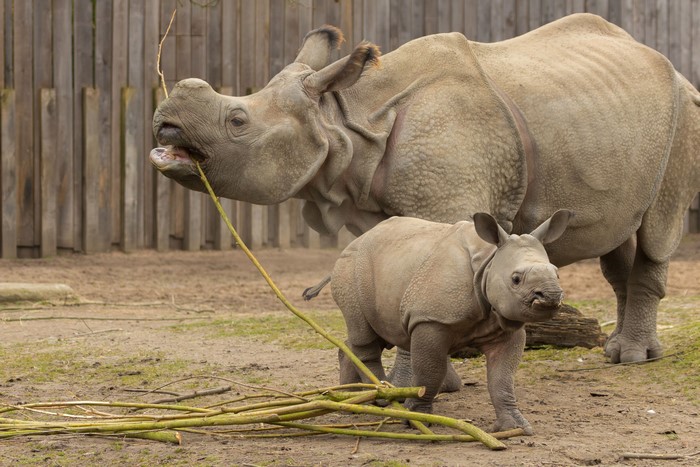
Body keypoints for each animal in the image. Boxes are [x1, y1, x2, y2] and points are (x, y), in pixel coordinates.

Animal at [150, 13, 700, 367]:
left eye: (237, 120)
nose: (163, 124)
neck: (344, 121)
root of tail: (670, 65)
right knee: (618, 240)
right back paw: (618, 351)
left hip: (685, 112)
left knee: (657, 231)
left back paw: (633, 360)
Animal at [314, 210, 572, 433]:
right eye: (516, 279)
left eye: (557, 273)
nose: (550, 296)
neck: (488, 261)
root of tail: (355, 241)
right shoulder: (430, 319)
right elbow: (431, 371)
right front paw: (416, 419)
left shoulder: (506, 322)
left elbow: (503, 378)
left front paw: (515, 427)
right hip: (349, 268)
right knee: (364, 335)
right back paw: (383, 397)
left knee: (371, 335)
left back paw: (352, 399)